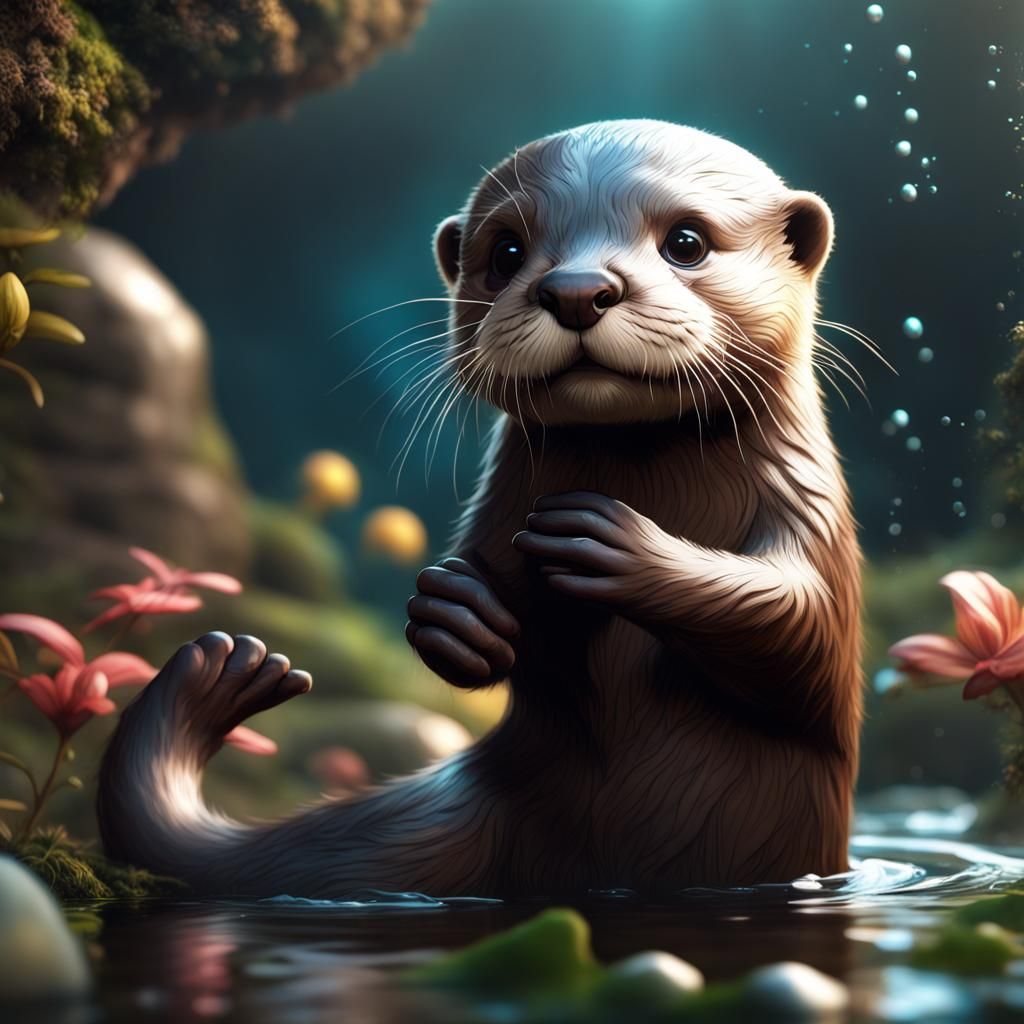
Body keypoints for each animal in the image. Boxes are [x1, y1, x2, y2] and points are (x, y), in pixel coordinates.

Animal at [98, 120, 862, 898]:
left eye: (686, 241)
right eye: (508, 252)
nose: (577, 290)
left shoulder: (810, 511)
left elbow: (792, 619)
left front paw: (612, 540)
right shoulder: (495, 518)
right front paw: (456, 611)